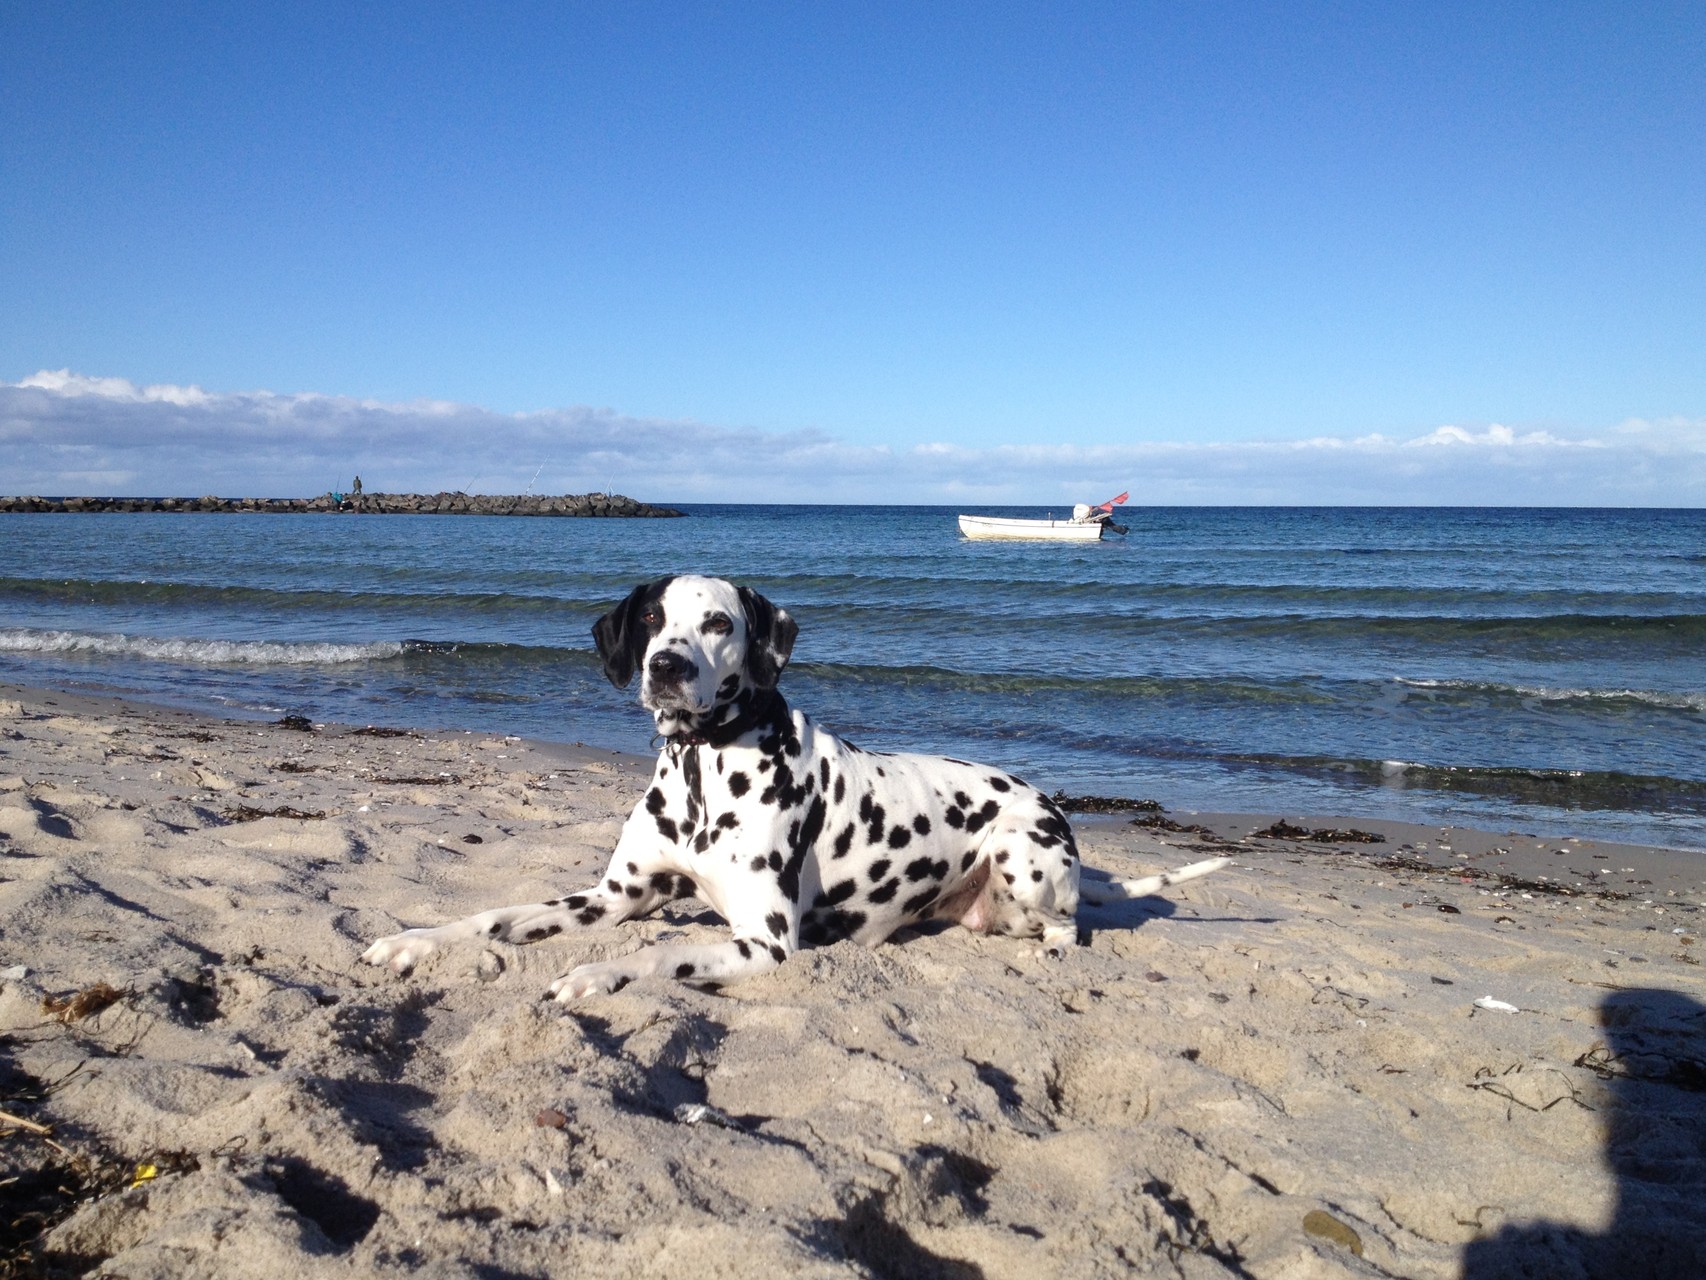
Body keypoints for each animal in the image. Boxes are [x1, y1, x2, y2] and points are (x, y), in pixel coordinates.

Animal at [366, 576, 1228, 1010]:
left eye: (718, 623)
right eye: (650, 619)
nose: (667, 667)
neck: (703, 768)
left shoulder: (765, 941)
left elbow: (662, 953)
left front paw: (595, 974)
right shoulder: (614, 898)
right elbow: (493, 916)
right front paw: (418, 939)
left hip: (1023, 849)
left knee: (1068, 926)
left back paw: (1049, 946)